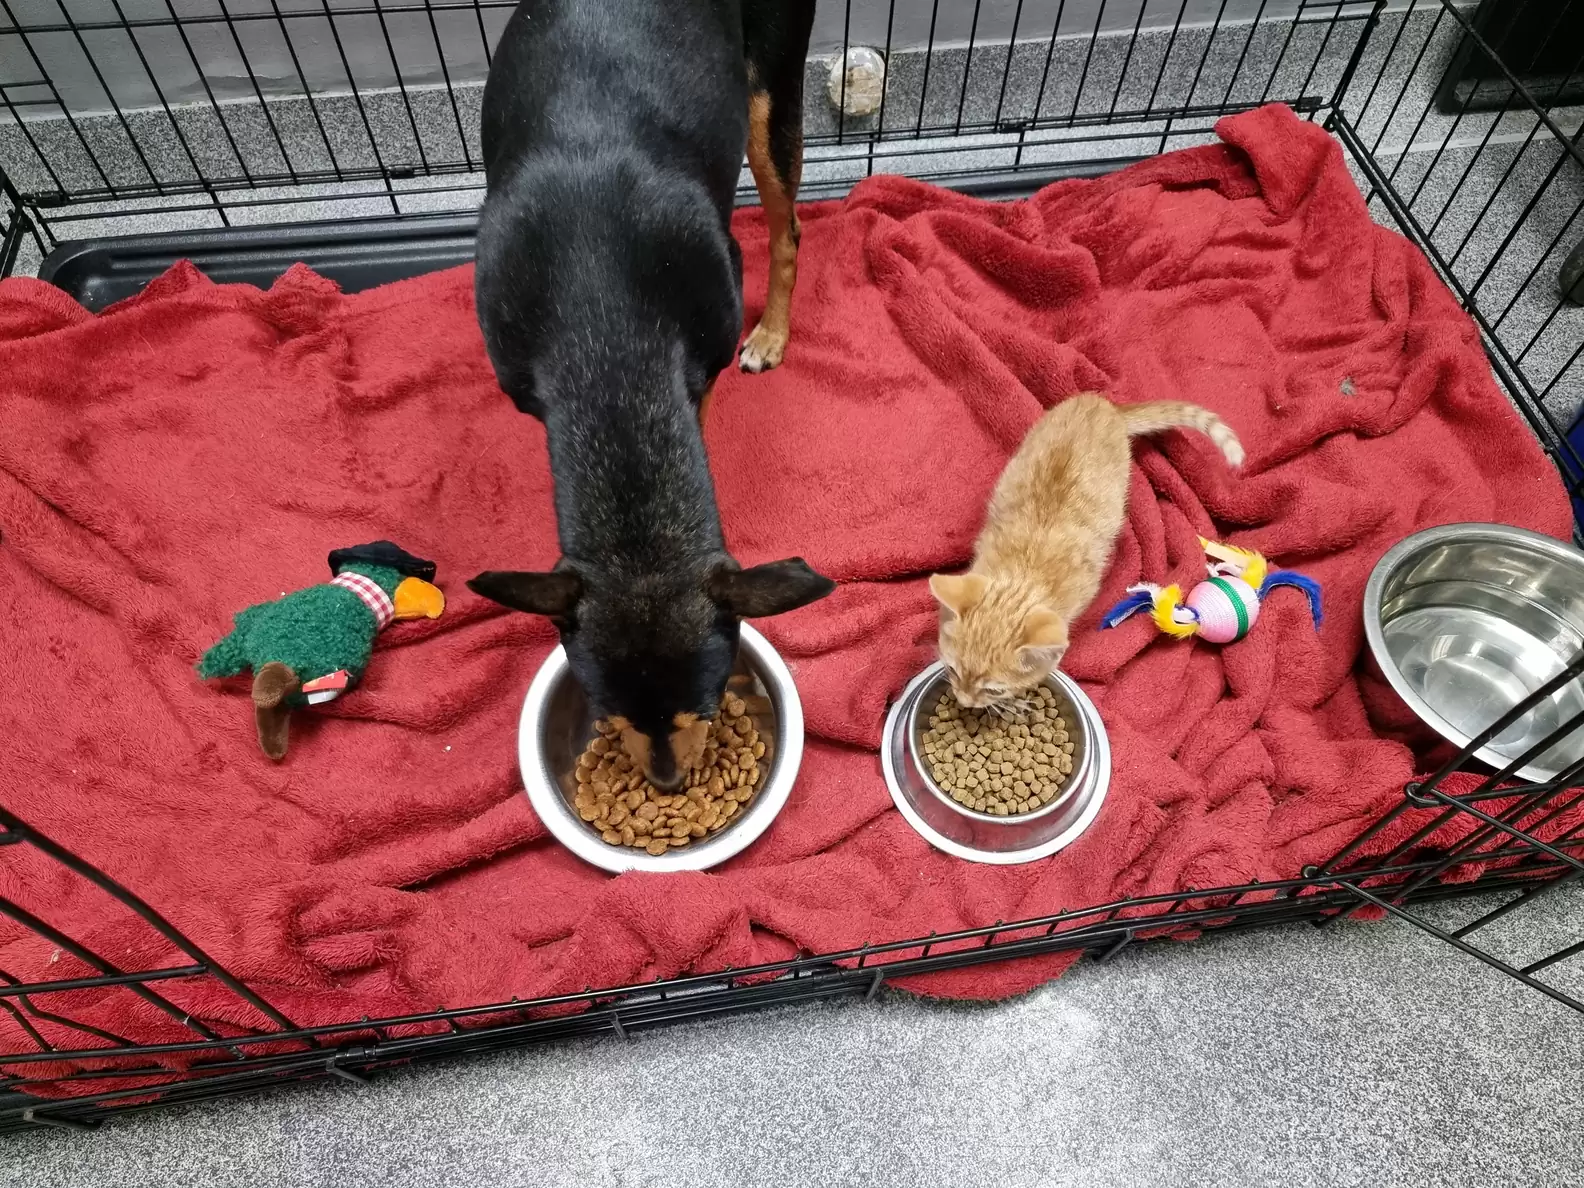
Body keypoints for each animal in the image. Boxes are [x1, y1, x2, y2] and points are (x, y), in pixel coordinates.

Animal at [465, 0, 830, 792]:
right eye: (608, 714)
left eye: (709, 707)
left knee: (787, 225)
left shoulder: (702, 357)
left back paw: (773, 333)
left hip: (769, 95)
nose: (666, 784)